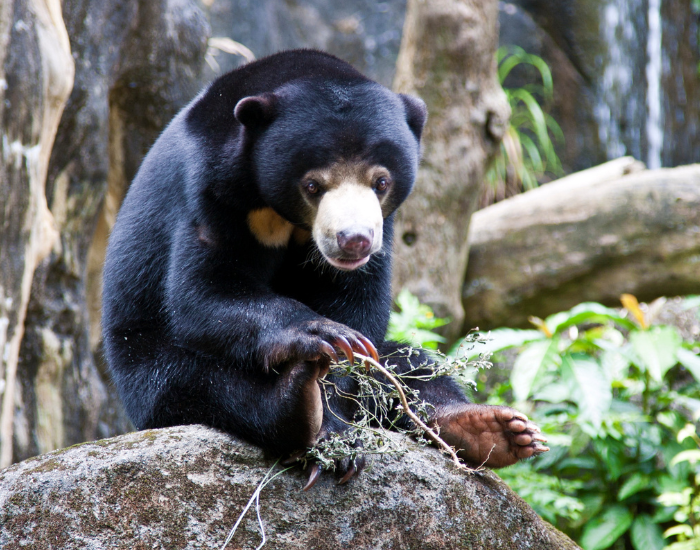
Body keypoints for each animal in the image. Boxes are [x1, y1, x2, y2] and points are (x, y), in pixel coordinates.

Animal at [102, 49, 548, 488]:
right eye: (313, 185)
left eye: (381, 182)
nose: (354, 240)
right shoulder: (210, 192)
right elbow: (205, 291)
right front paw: (322, 337)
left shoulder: (382, 229)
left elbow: (357, 306)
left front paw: (336, 431)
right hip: (141, 361)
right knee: (199, 386)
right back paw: (294, 401)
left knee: (410, 364)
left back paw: (493, 429)